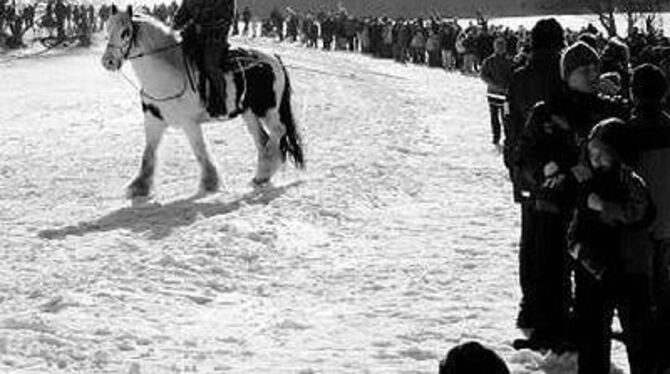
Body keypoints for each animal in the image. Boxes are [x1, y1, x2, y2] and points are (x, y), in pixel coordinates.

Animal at [101, 5, 304, 199]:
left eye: (125, 32)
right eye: (108, 28)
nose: (108, 61)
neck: (169, 75)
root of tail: (273, 58)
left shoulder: (189, 123)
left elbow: (200, 151)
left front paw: (210, 182)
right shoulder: (154, 120)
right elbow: (148, 153)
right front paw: (139, 186)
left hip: (270, 110)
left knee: (278, 132)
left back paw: (264, 170)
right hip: (249, 113)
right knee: (263, 139)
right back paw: (262, 175)